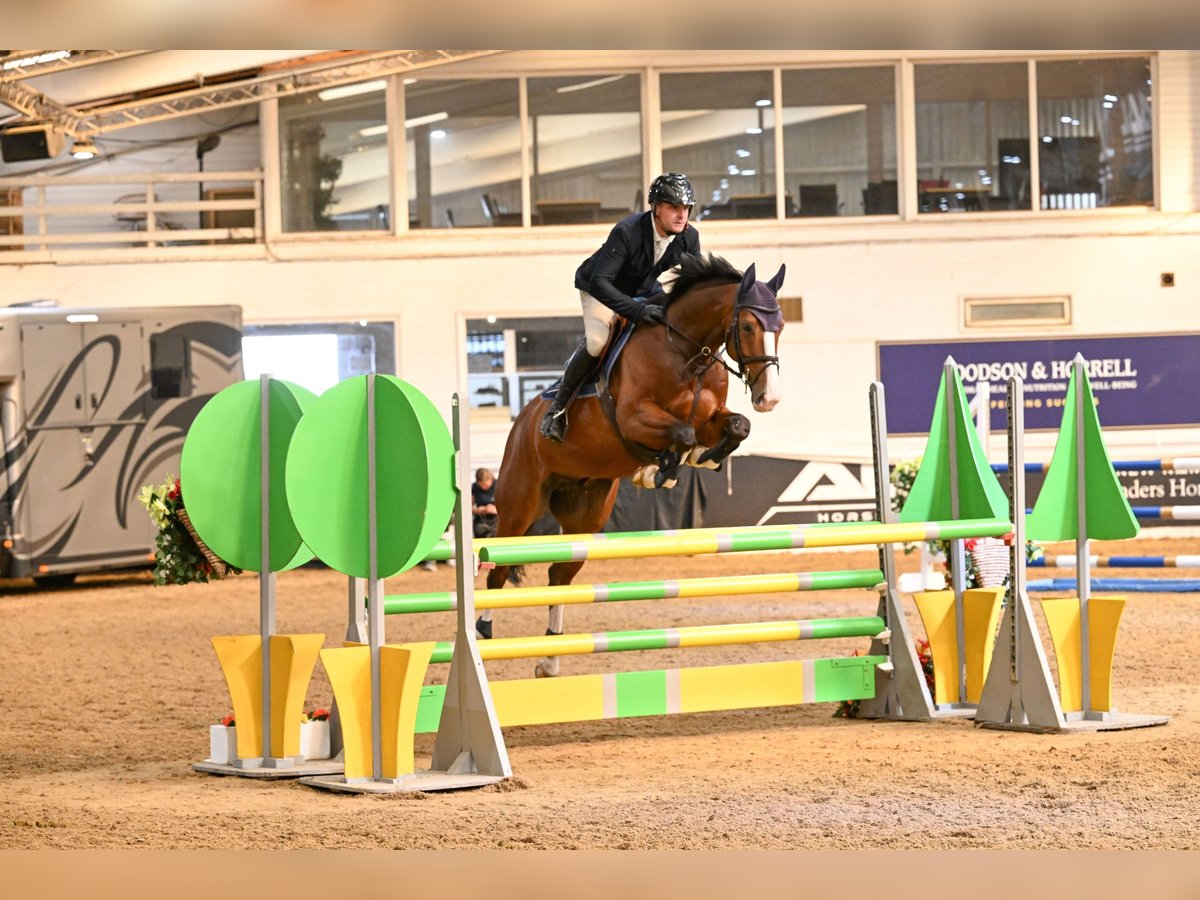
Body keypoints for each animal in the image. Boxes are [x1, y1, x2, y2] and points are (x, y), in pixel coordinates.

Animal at [477, 254, 787, 676]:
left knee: (559, 573)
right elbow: (683, 433)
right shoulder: (633, 418)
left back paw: (550, 659)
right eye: (749, 325)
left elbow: (736, 425)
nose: (768, 398)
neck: (687, 352)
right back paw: (483, 631)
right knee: (499, 567)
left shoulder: (713, 416)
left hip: (586, 514)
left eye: (781, 326)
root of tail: (521, 422)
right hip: (520, 503)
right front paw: (662, 470)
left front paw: (698, 459)